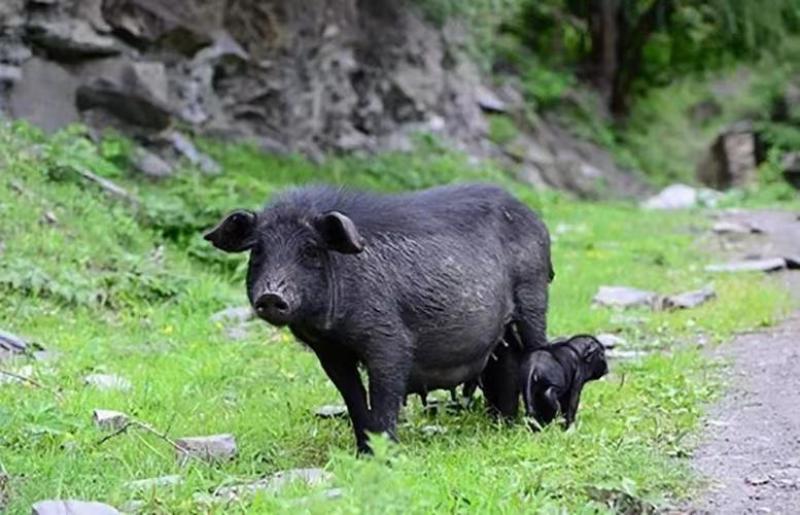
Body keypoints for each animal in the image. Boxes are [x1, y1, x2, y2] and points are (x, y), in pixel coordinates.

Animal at [205, 184, 552, 452]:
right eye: (258, 251)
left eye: (310, 250)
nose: (271, 296)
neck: (330, 329)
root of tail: (533, 216)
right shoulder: (330, 353)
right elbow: (354, 399)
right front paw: (363, 453)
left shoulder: (388, 338)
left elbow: (384, 395)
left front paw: (385, 455)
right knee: (506, 361)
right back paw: (502, 424)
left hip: (534, 295)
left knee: (536, 349)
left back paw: (536, 424)